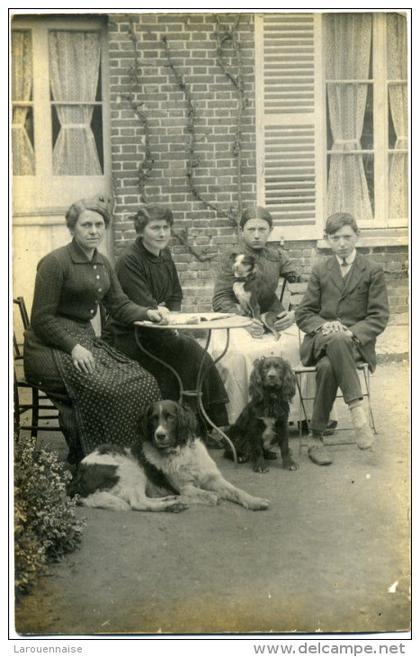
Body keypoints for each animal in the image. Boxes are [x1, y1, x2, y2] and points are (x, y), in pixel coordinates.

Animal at [69, 400, 270, 512]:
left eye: (170, 417)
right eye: (153, 419)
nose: (160, 435)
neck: (179, 452)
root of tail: (77, 476)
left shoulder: (213, 479)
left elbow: (237, 491)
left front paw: (255, 501)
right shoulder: (185, 487)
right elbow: (210, 495)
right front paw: (206, 497)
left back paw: (171, 501)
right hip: (130, 469)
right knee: (138, 502)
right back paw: (172, 504)